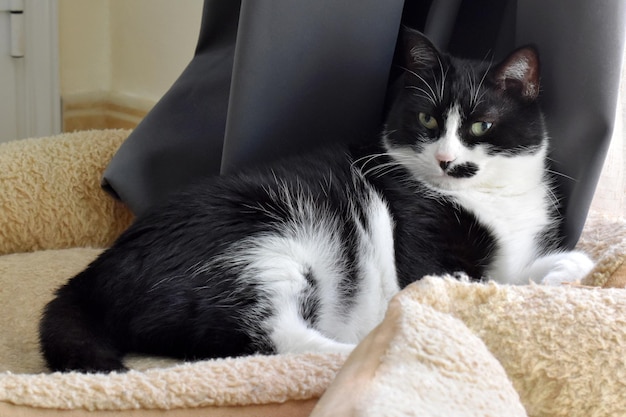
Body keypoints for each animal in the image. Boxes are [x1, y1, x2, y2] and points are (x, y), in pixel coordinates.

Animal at [37, 30, 588, 374]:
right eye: (428, 120)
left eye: (481, 126)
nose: (446, 160)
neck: (485, 201)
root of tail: (94, 276)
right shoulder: (423, 246)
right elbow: (468, 284)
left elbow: (517, 274)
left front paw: (561, 269)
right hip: (263, 250)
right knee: (266, 341)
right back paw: (367, 345)